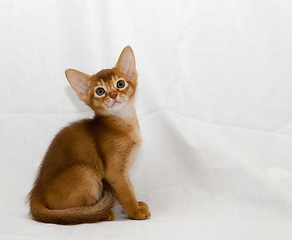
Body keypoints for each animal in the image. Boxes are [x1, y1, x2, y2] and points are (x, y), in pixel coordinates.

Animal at [28, 46, 151, 225]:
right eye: (100, 91)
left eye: (120, 84)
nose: (113, 95)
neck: (124, 122)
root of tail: (36, 193)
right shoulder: (115, 172)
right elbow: (126, 193)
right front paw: (135, 212)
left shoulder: (124, 171)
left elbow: (129, 188)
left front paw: (136, 205)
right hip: (87, 173)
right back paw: (100, 213)